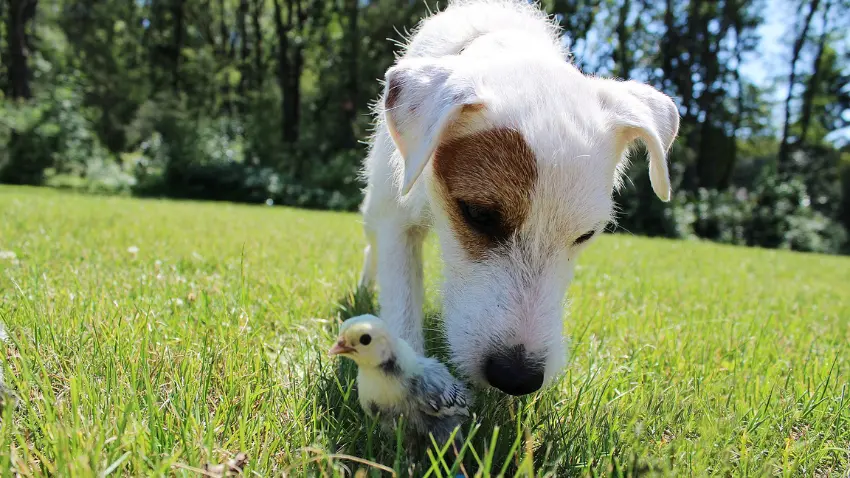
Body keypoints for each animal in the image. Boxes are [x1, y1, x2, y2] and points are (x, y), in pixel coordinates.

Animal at [354, 0, 680, 396]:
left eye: (586, 235)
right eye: (478, 214)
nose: (517, 378)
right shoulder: (396, 222)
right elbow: (401, 296)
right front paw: (411, 379)